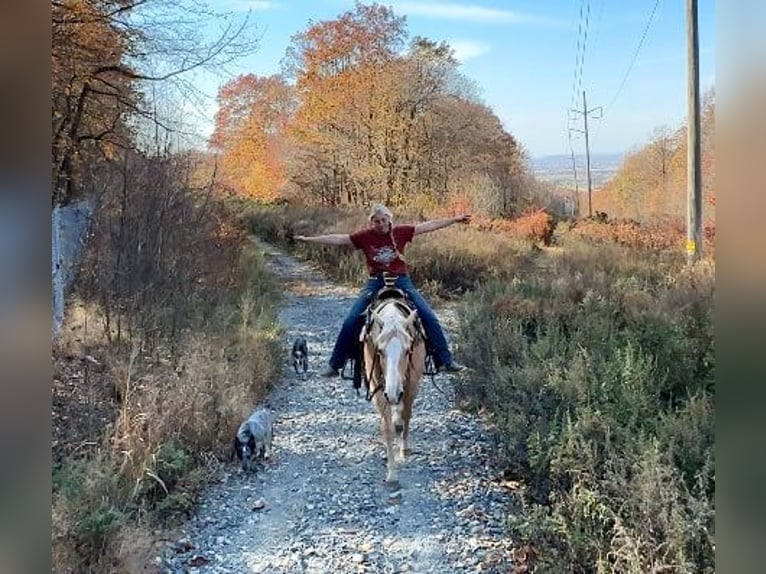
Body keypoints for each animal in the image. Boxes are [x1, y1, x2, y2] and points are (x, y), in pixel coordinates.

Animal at [362, 294, 428, 488]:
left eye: (407, 350)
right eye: (380, 351)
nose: (393, 394)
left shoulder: (411, 384)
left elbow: (406, 415)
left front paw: (404, 450)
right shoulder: (378, 389)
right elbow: (388, 429)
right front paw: (391, 473)